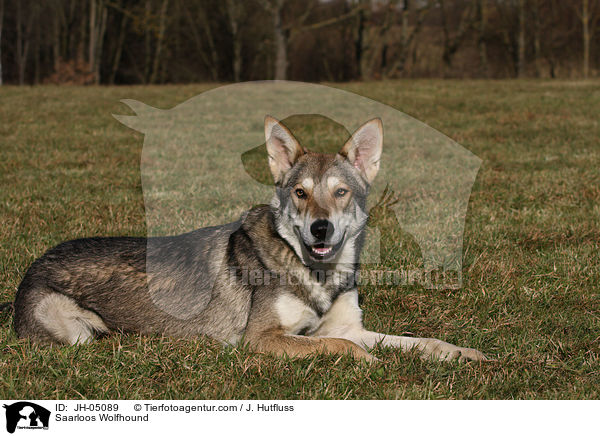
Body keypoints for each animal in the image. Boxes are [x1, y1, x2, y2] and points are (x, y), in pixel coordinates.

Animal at [10, 115, 488, 362]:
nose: (320, 228)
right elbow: (337, 344)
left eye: (340, 192)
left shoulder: (350, 325)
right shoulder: (261, 339)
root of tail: (31, 268)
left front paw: (463, 353)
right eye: (300, 193)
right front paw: (371, 362)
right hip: (78, 335)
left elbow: (418, 341)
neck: (317, 275)